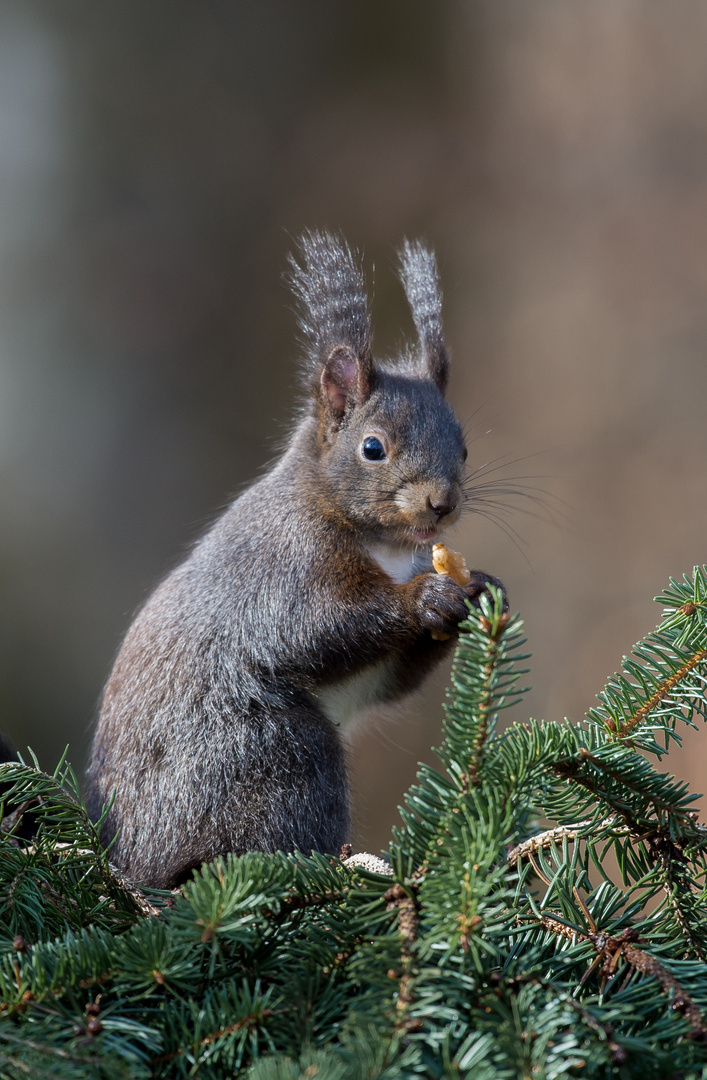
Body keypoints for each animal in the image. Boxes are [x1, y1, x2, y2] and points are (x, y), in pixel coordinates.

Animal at [85, 230, 505, 885]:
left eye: (462, 447)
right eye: (372, 448)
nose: (442, 503)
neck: (381, 544)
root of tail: (132, 864)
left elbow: (388, 678)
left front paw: (478, 590)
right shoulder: (285, 565)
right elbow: (315, 627)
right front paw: (426, 598)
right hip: (275, 753)